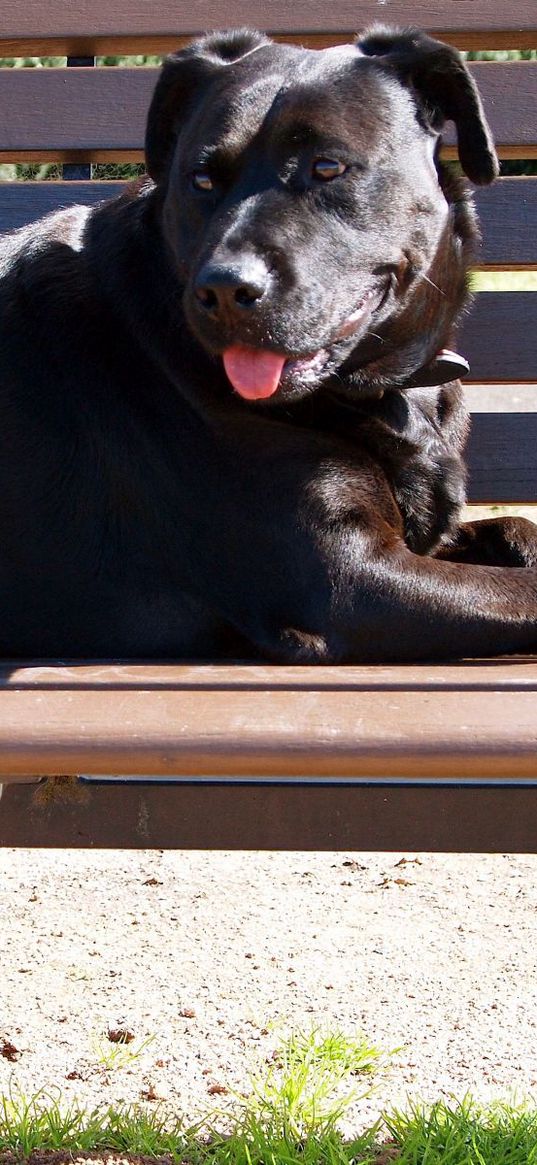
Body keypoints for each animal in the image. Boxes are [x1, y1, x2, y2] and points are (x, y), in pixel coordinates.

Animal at [1, 27, 535, 661]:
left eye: (326, 167)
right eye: (202, 180)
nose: (225, 289)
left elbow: (517, 527)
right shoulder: (348, 580)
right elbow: (526, 591)